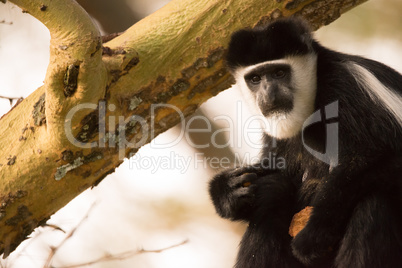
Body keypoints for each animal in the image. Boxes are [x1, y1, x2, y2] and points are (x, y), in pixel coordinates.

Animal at [209, 17, 402, 268]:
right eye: (255, 79)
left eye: (280, 72)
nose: (268, 92)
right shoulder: (275, 133)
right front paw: (227, 191)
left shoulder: (348, 88)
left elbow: (372, 158)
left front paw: (313, 236)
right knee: (273, 190)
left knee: (373, 201)